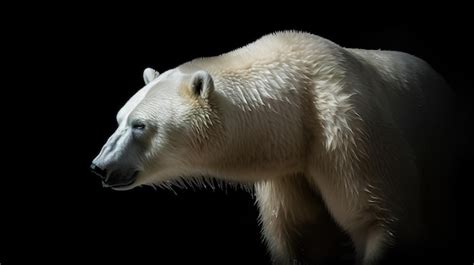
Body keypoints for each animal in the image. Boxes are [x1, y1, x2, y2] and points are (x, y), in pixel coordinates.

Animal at [90, 31, 454, 264]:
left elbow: (378, 215)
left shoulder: (349, 134)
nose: (100, 166)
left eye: (140, 125)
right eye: (119, 118)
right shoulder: (289, 168)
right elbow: (301, 233)